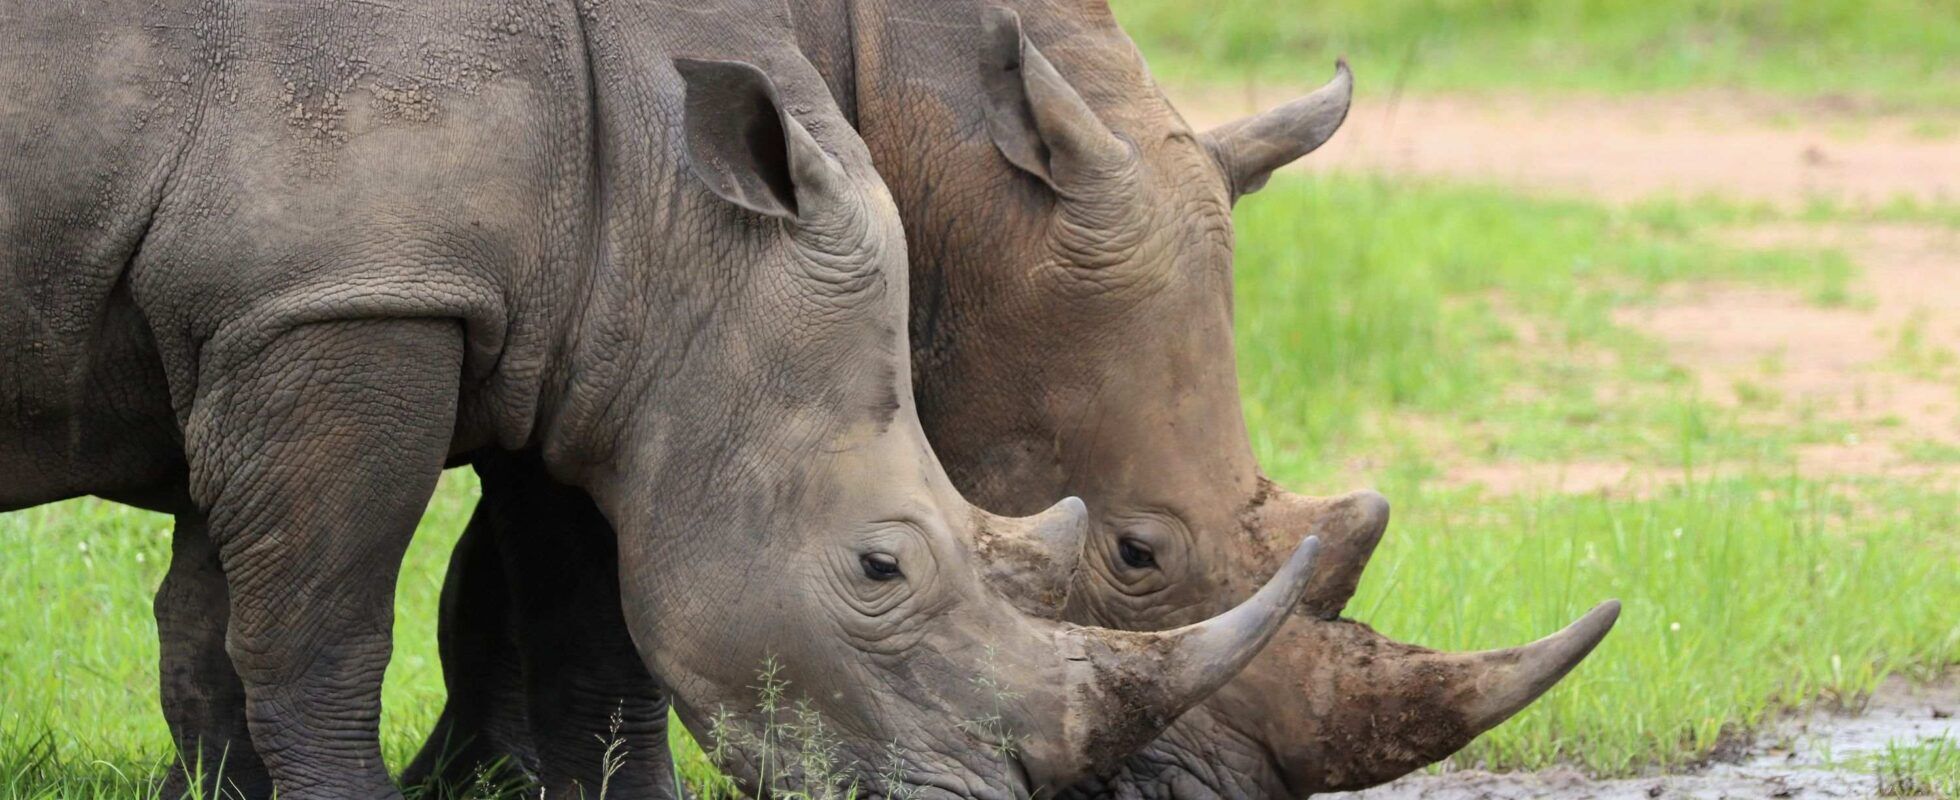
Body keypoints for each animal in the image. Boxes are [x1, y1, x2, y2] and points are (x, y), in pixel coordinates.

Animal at [0, 1, 1324, 800]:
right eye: (879, 568)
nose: (978, 795)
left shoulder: (344, 313)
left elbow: (214, 630)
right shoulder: (349, 293)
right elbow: (318, 625)